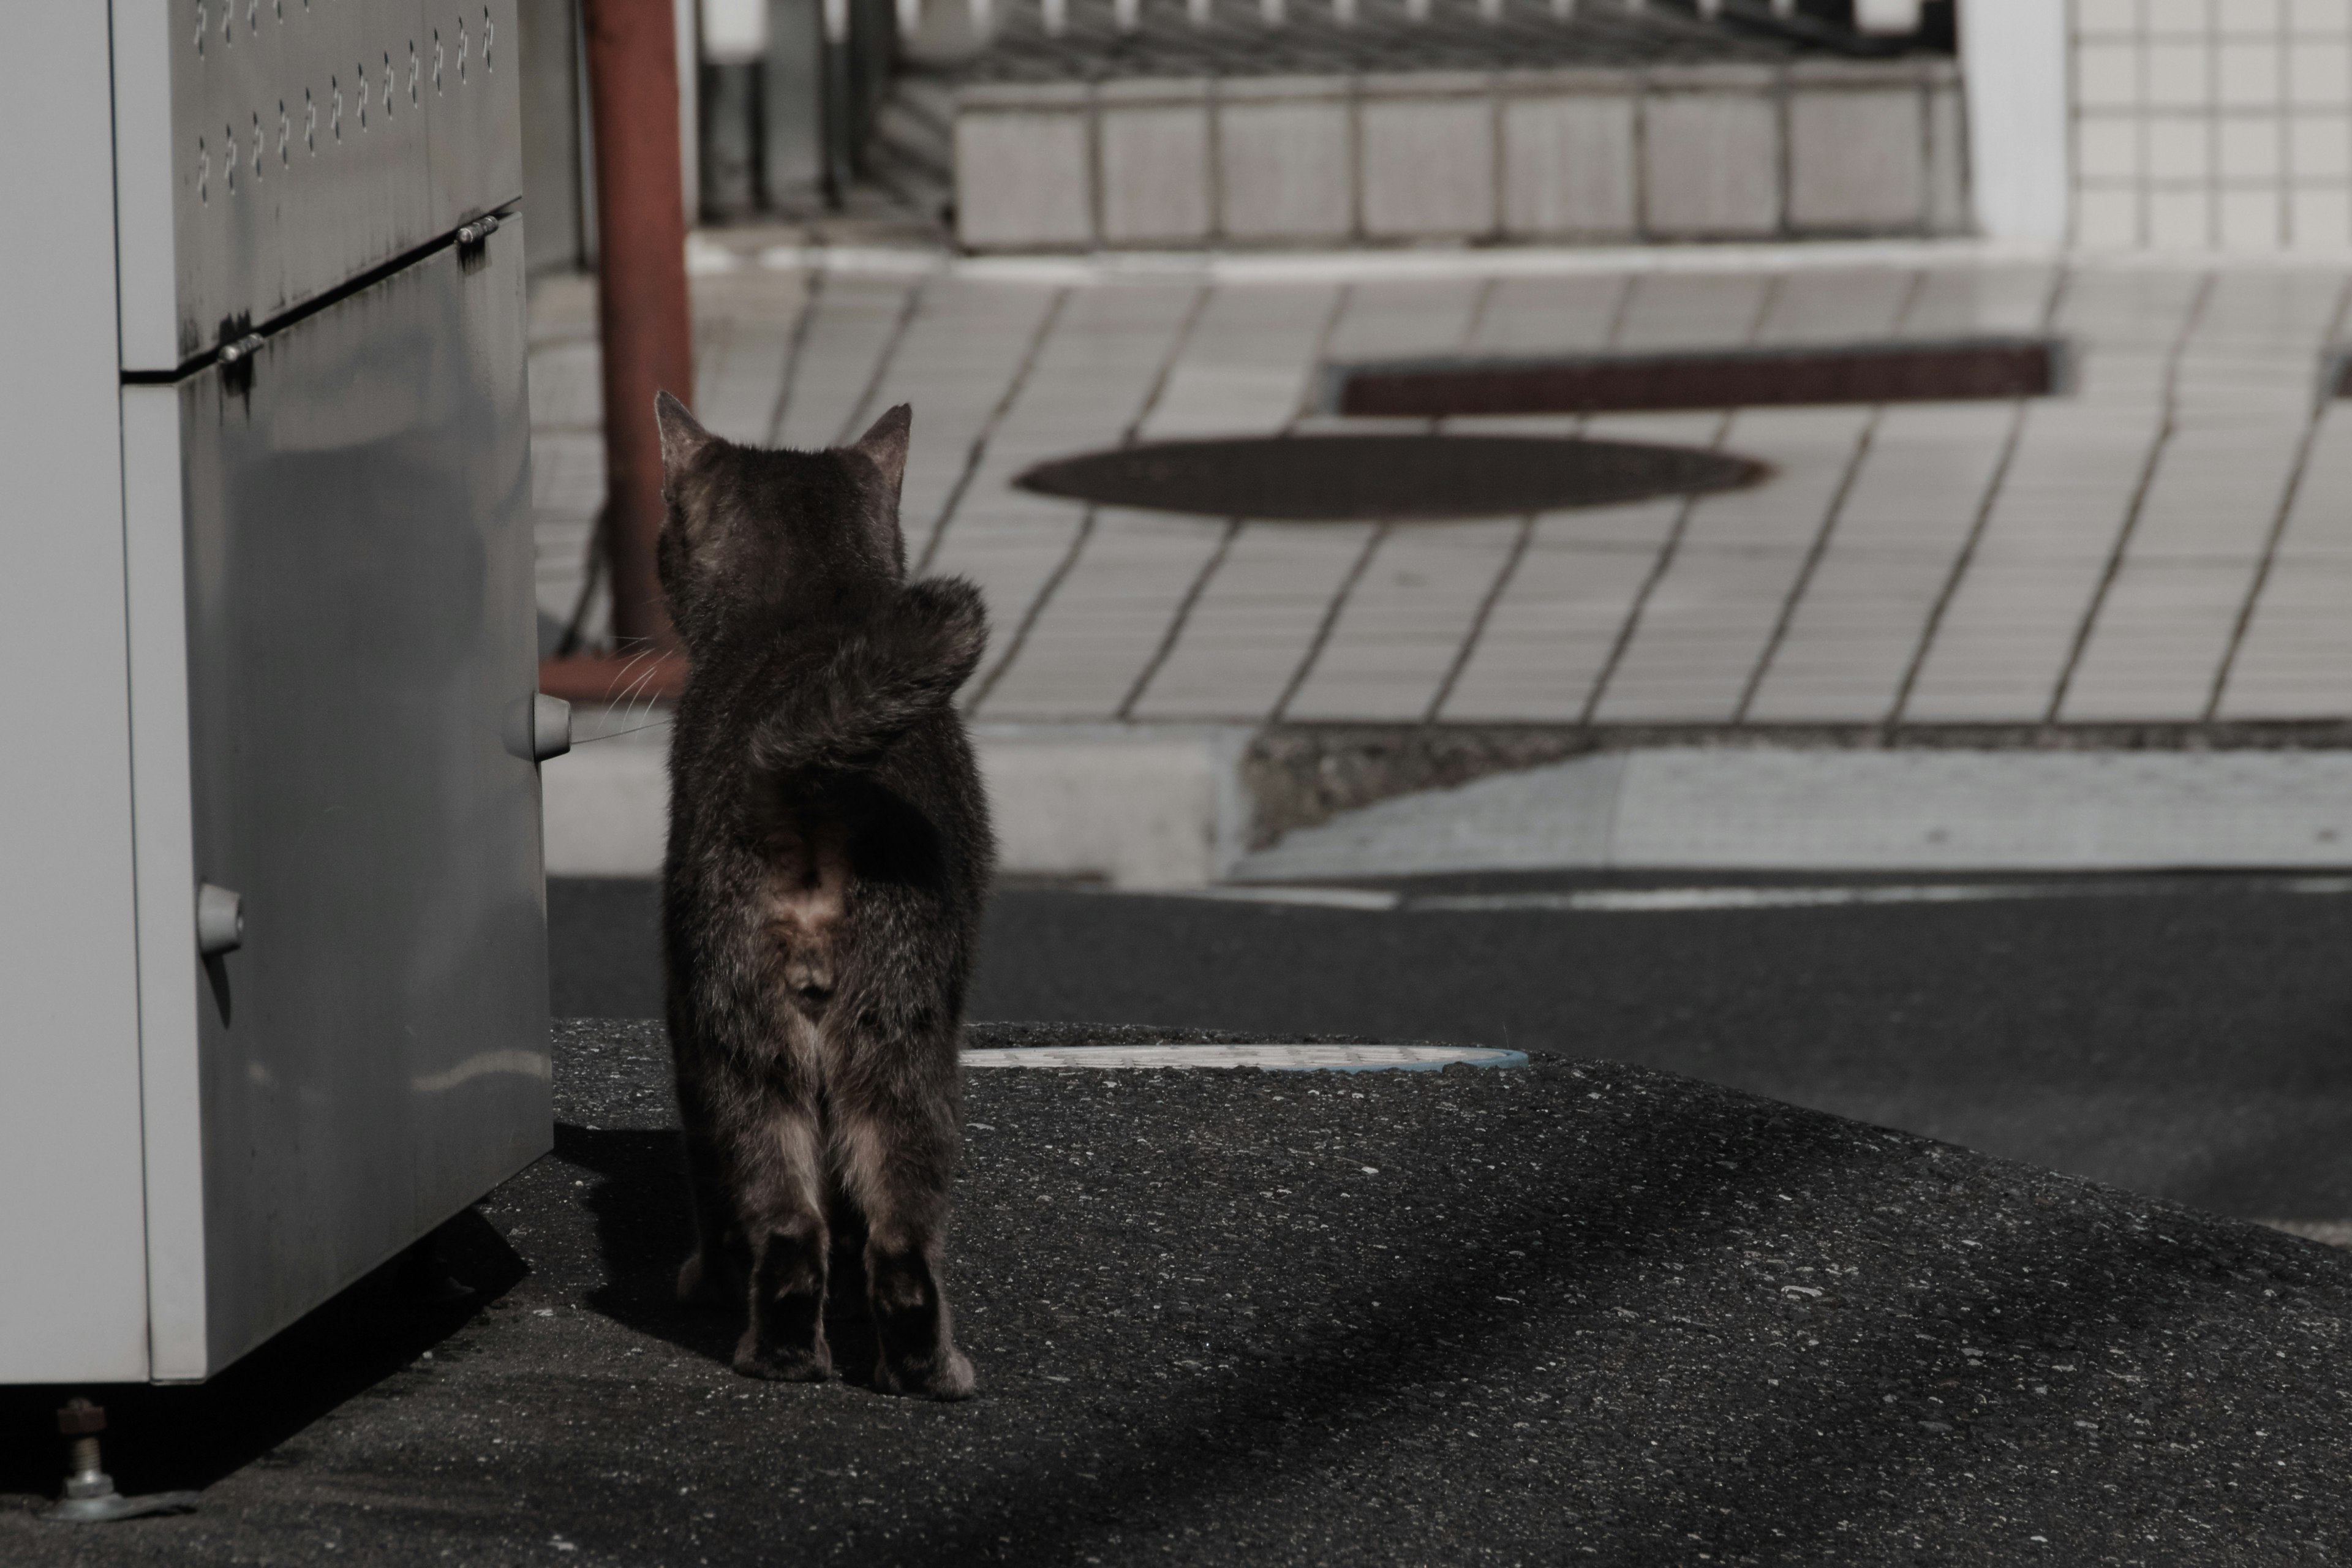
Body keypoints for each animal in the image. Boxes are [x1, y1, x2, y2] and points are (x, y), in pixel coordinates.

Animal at [654, 390, 992, 1401]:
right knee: (871, 1235)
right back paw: (898, 1366)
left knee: (804, 1225)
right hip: (884, 1034)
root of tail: (809, 784)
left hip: (762, 1034)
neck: (815, 601)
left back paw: (802, 1358)